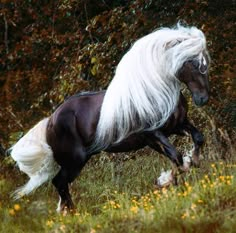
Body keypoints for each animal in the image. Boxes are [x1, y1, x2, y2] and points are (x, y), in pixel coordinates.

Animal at [10, 24, 210, 213]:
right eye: (192, 63)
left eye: (205, 63)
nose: (202, 99)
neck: (155, 92)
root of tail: (51, 120)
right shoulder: (153, 134)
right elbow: (176, 157)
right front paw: (165, 180)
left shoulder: (176, 126)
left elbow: (196, 140)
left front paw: (191, 162)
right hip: (75, 160)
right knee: (59, 182)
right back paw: (71, 214)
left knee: (61, 184)